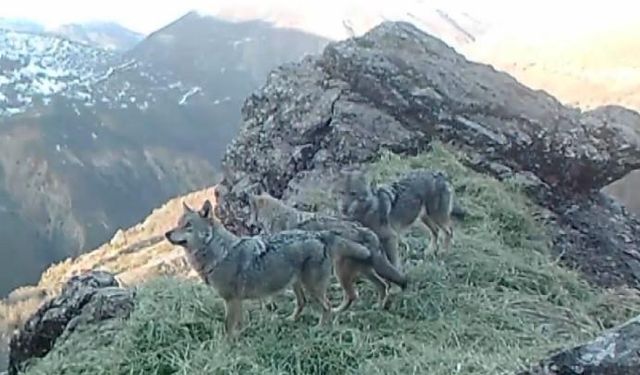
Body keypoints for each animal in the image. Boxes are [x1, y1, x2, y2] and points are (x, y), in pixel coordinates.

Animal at [165, 200, 376, 338]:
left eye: (188, 225)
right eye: (178, 223)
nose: (167, 233)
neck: (219, 254)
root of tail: (319, 235)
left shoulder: (231, 301)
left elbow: (227, 328)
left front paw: (227, 346)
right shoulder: (237, 302)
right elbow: (238, 326)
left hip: (312, 288)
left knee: (328, 307)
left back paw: (320, 329)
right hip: (297, 285)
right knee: (302, 303)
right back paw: (290, 320)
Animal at [248, 192, 408, 312]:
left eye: (250, 212)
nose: (249, 225)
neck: (276, 216)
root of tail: (364, 230)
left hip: (341, 272)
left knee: (352, 295)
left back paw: (338, 311)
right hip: (364, 271)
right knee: (383, 286)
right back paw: (378, 307)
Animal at [336, 169, 464, 266]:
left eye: (353, 193)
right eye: (341, 193)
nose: (343, 208)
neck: (370, 209)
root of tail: (440, 174)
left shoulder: (391, 238)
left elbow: (394, 264)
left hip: (436, 217)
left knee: (449, 232)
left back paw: (443, 254)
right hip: (424, 218)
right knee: (436, 231)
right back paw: (429, 252)